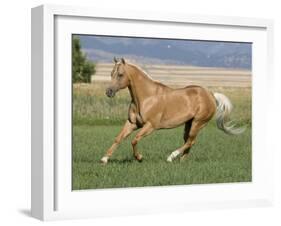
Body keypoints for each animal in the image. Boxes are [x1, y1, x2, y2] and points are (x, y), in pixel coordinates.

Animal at [100, 57, 243, 164]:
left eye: (120, 74)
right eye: (111, 74)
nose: (109, 92)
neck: (147, 97)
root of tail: (211, 95)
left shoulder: (150, 126)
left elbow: (134, 140)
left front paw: (139, 158)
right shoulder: (132, 123)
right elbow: (118, 138)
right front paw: (104, 159)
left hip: (198, 122)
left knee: (191, 141)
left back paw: (171, 157)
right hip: (189, 123)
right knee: (189, 141)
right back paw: (181, 160)